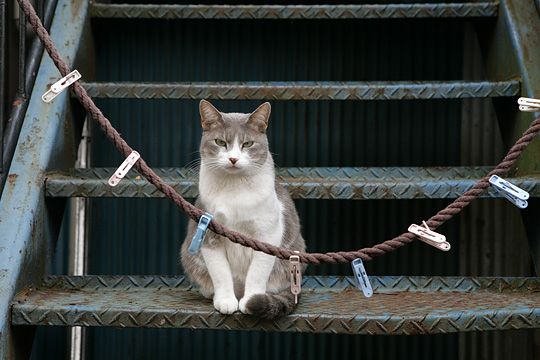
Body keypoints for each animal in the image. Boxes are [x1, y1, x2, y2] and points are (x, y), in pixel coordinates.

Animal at [181, 99, 306, 318]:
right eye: (220, 142)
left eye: (247, 144)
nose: (233, 159)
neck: (234, 187)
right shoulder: (209, 234)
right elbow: (220, 273)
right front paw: (225, 301)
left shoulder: (267, 235)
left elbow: (257, 272)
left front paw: (251, 301)